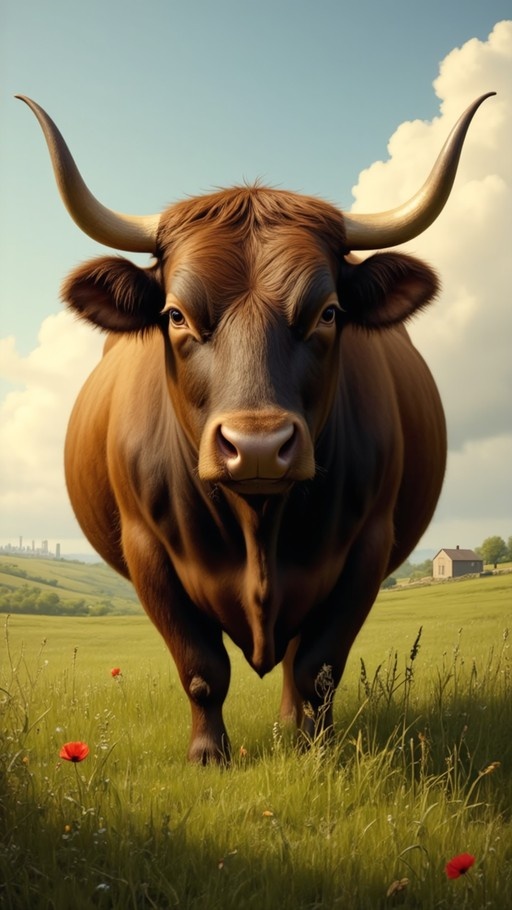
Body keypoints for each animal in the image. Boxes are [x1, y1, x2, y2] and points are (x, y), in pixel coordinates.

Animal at [18, 93, 493, 763]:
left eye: (328, 312)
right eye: (176, 315)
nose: (259, 447)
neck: (258, 525)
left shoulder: (368, 546)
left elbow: (318, 666)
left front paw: (312, 752)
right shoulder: (146, 549)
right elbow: (201, 667)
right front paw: (208, 755)